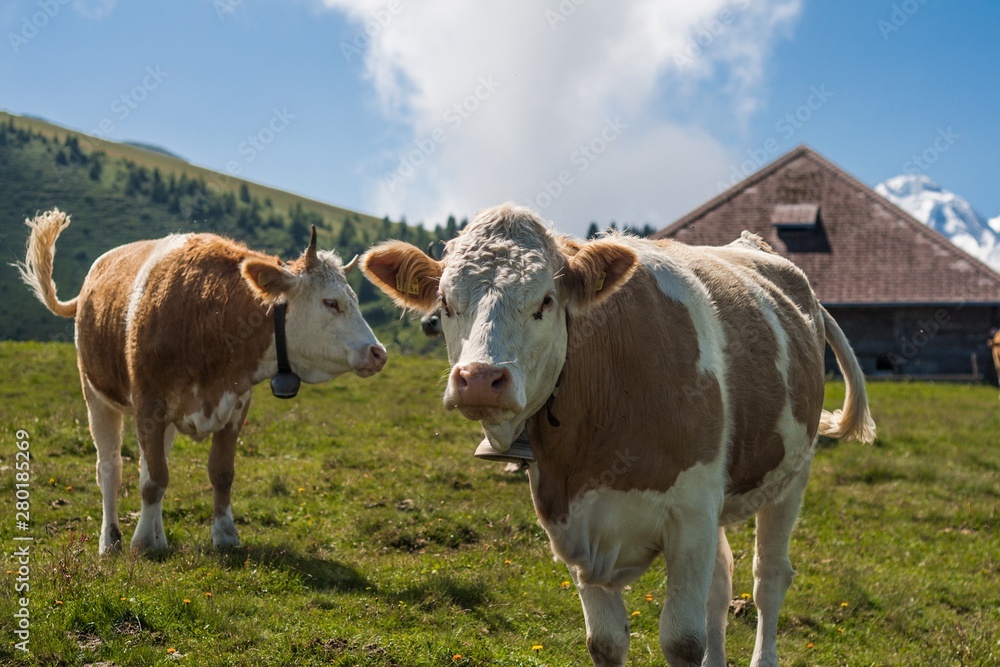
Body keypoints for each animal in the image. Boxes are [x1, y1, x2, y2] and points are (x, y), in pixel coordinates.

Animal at [20, 211, 386, 556]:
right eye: (331, 302)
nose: (378, 352)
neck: (208, 317)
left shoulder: (236, 405)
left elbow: (218, 473)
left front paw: (224, 535)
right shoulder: (148, 404)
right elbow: (153, 480)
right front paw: (142, 542)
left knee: (147, 464)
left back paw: (160, 537)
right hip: (97, 396)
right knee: (110, 468)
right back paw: (110, 541)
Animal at [362, 204, 876, 667]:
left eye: (545, 301)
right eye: (446, 305)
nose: (480, 378)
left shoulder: (690, 515)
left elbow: (683, 641)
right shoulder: (575, 523)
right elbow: (606, 643)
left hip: (792, 475)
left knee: (768, 578)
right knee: (722, 581)